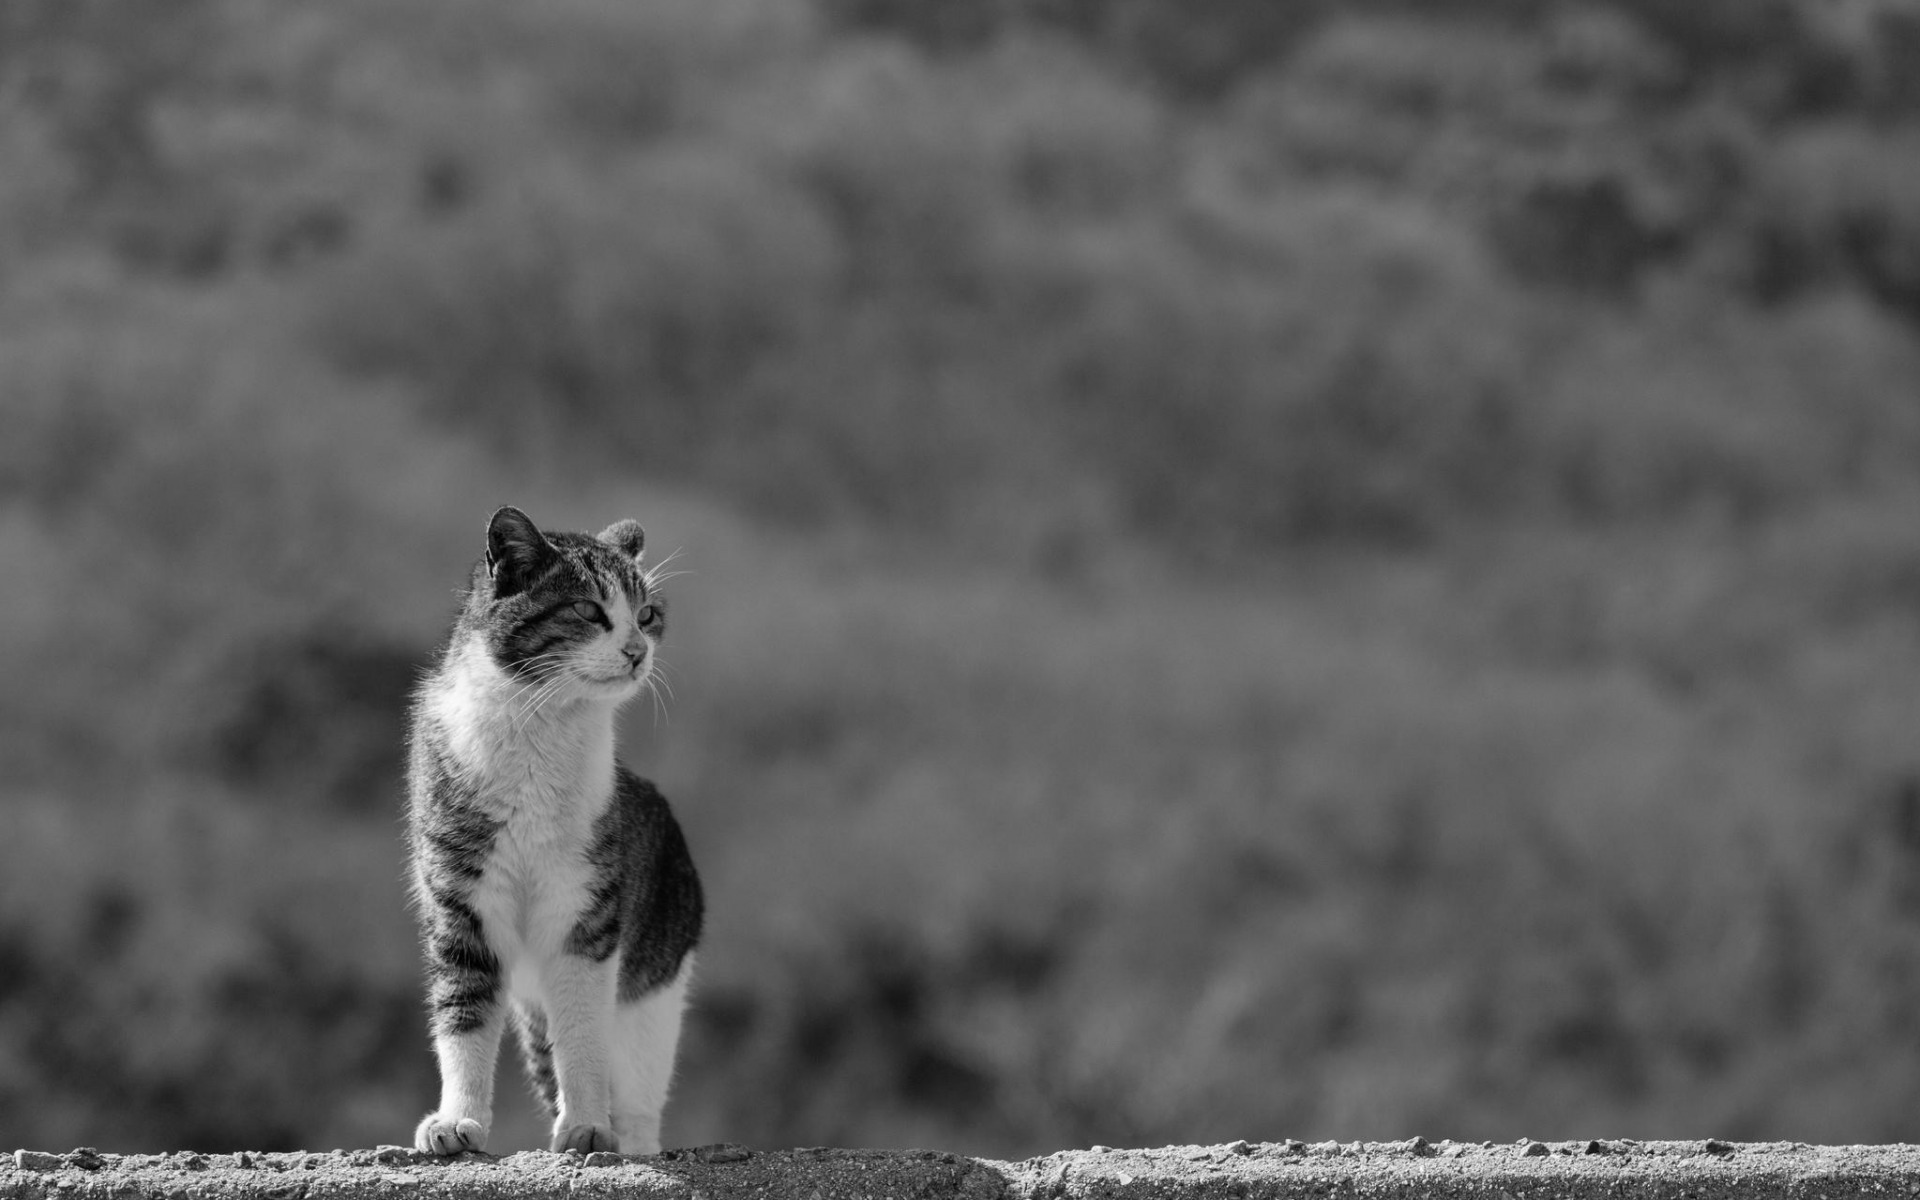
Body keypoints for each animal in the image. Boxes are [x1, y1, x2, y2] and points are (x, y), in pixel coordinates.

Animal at [408, 503, 702, 1152]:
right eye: (588, 611)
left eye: (647, 614)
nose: (637, 649)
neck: (538, 732)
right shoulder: (462, 905)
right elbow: (463, 1014)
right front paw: (456, 1122)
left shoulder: (584, 913)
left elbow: (583, 1031)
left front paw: (587, 1127)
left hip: (654, 994)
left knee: (638, 1097)